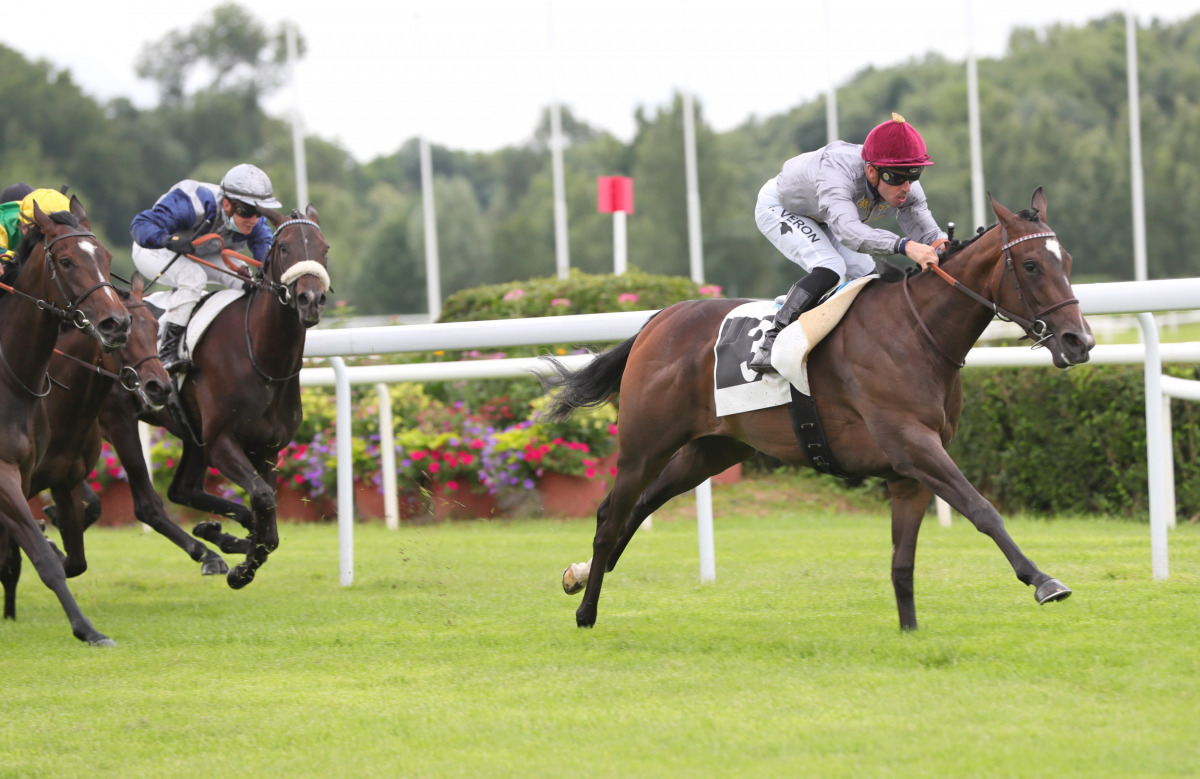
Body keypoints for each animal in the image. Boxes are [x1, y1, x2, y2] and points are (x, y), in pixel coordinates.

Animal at [0, 199, 131, 643]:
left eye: (106, 257)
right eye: (66, 261)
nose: (116, 323)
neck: (11, 379)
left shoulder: (28, 473)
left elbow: (51, 555)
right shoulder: (3, 476)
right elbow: (42, 555)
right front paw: (86, 628)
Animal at [102, 204, 328, 585]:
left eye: (324, 249)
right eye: (284, 248)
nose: (310, 300)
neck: (261, 357)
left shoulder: (267, 449)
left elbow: (267, 518)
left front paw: (240, 548)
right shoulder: (221, 441)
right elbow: (263, 499)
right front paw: (242, 569)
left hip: (192, 434)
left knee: (182, 489)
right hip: (118, 420)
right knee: (149, 504)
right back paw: (208, 550)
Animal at [544, 188, 1099, 633]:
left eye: (1068, 260)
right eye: (1031, 265)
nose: (1080, 342)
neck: (917, 332)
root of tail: (658, 319)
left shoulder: (909, 470)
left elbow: (902, 561)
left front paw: (910, 630)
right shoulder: (913, 445)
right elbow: (982, 509)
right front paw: (1044, 580)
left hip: (713, 449)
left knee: (640, 505)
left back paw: (577, 576)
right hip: (645, 443)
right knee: (610, 515)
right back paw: (586, 611)